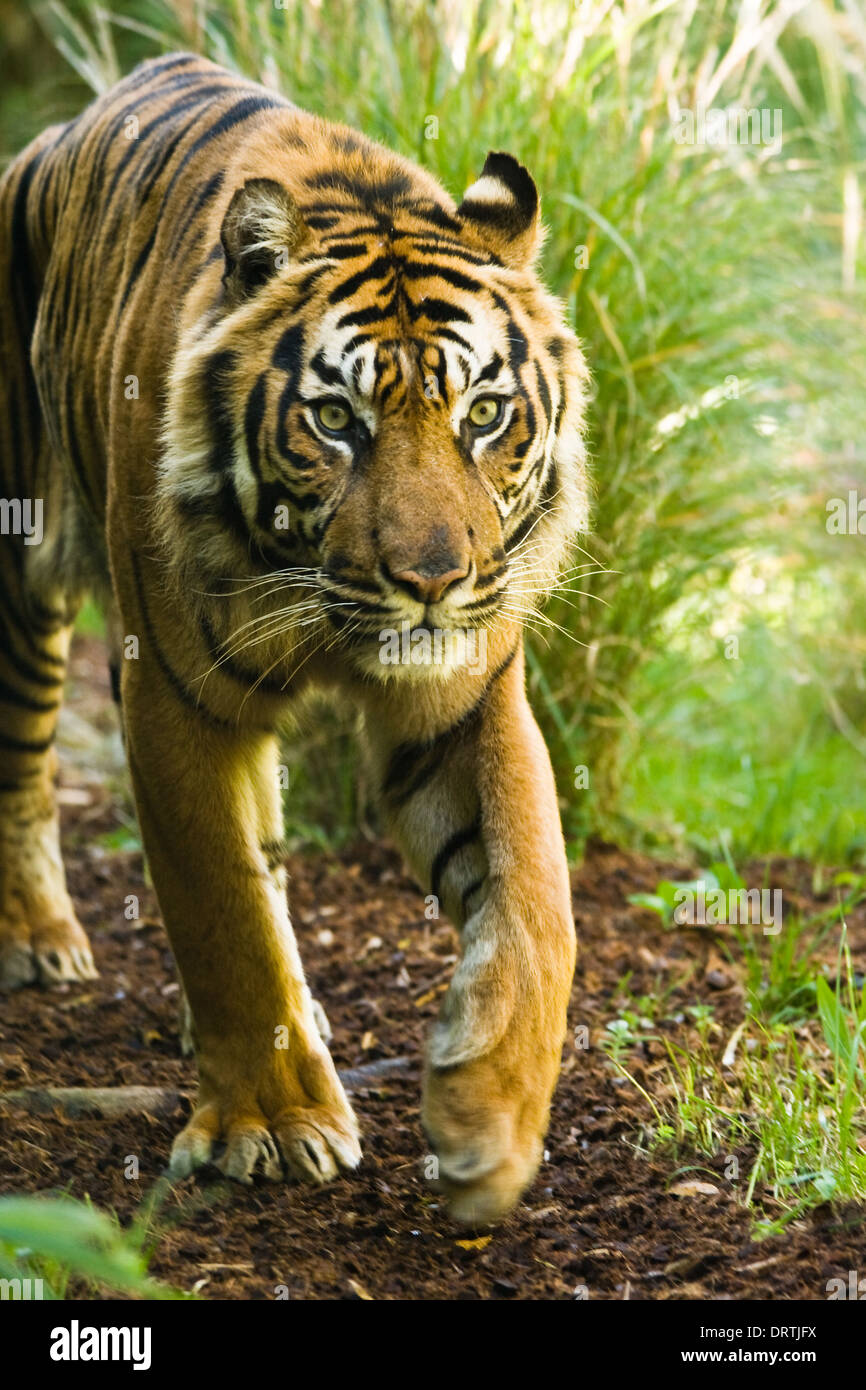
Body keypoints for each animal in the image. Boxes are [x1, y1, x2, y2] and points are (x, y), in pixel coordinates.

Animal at [0, 52, 588, 1225]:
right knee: (24, 763)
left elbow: (536, 902)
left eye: (484, 415)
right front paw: (271, 1127)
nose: (431, 582)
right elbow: (220, 905)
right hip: (18, 574)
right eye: (335, 421)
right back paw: (37, 940)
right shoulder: (171, 696)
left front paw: (491, 1120)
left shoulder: (470, 693)